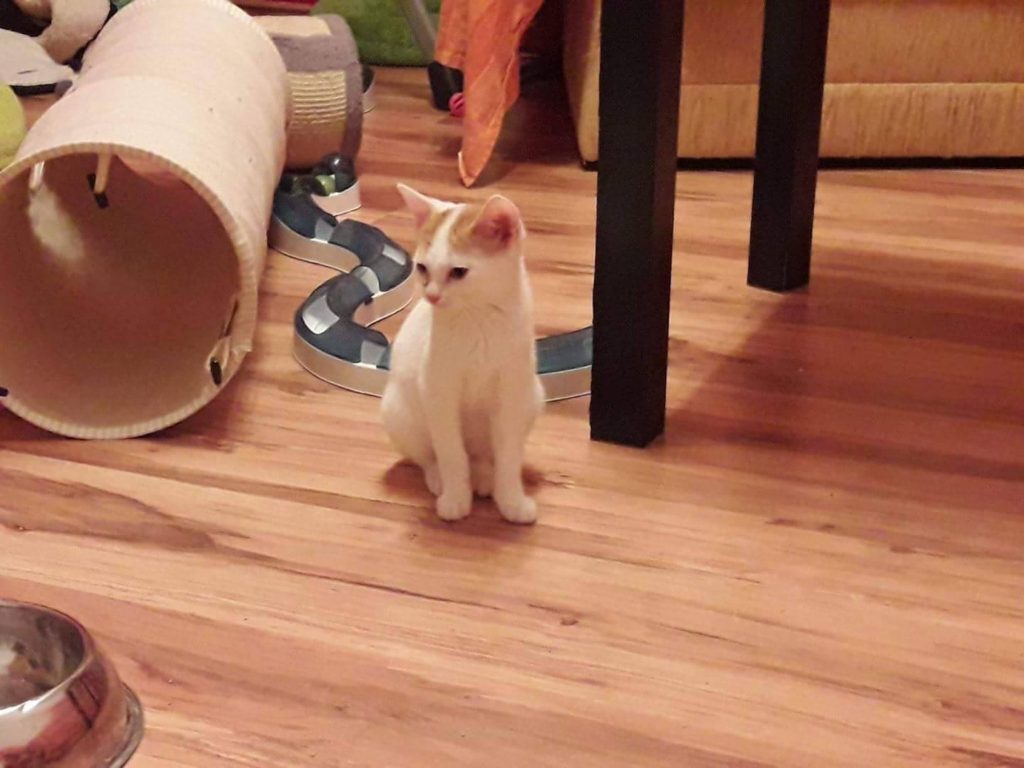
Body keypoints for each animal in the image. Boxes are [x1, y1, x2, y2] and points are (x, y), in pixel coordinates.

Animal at [381, 184, 545, 524]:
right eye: (422, 268)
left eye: (458, 272)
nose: (431, 295)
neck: (478, 315)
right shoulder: (439, 393)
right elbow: (451, 454)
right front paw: (456, 499)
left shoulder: (513, 396)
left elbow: (509, 456)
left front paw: (512, 502)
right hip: (398, 413)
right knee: (428, 456)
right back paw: (439, 479)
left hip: (532, 399)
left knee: (484, 456)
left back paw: (484, 476)